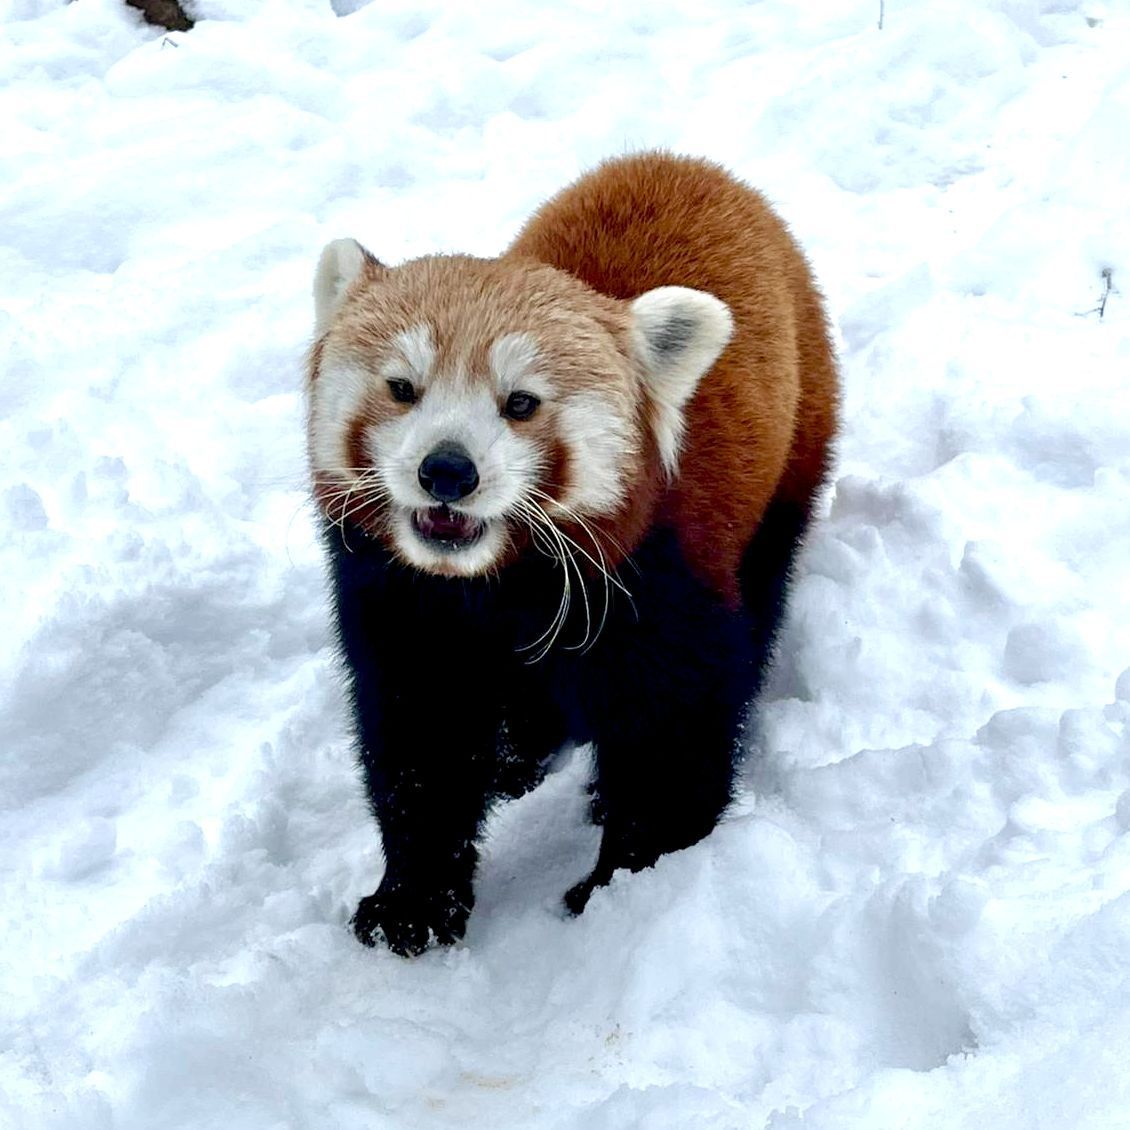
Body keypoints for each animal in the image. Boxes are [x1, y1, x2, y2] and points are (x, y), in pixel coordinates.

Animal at [309, 154, 840, 958]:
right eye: (402, 389)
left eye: (521, 403)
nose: (447, 471)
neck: (494, 585)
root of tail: (686, 161)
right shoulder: (404, 603)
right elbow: (422, 743)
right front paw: (413, 901)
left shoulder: (656, 579)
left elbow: (674, 731)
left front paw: (626, 881)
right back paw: (517, 759)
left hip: (791, 459)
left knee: (763, 600)